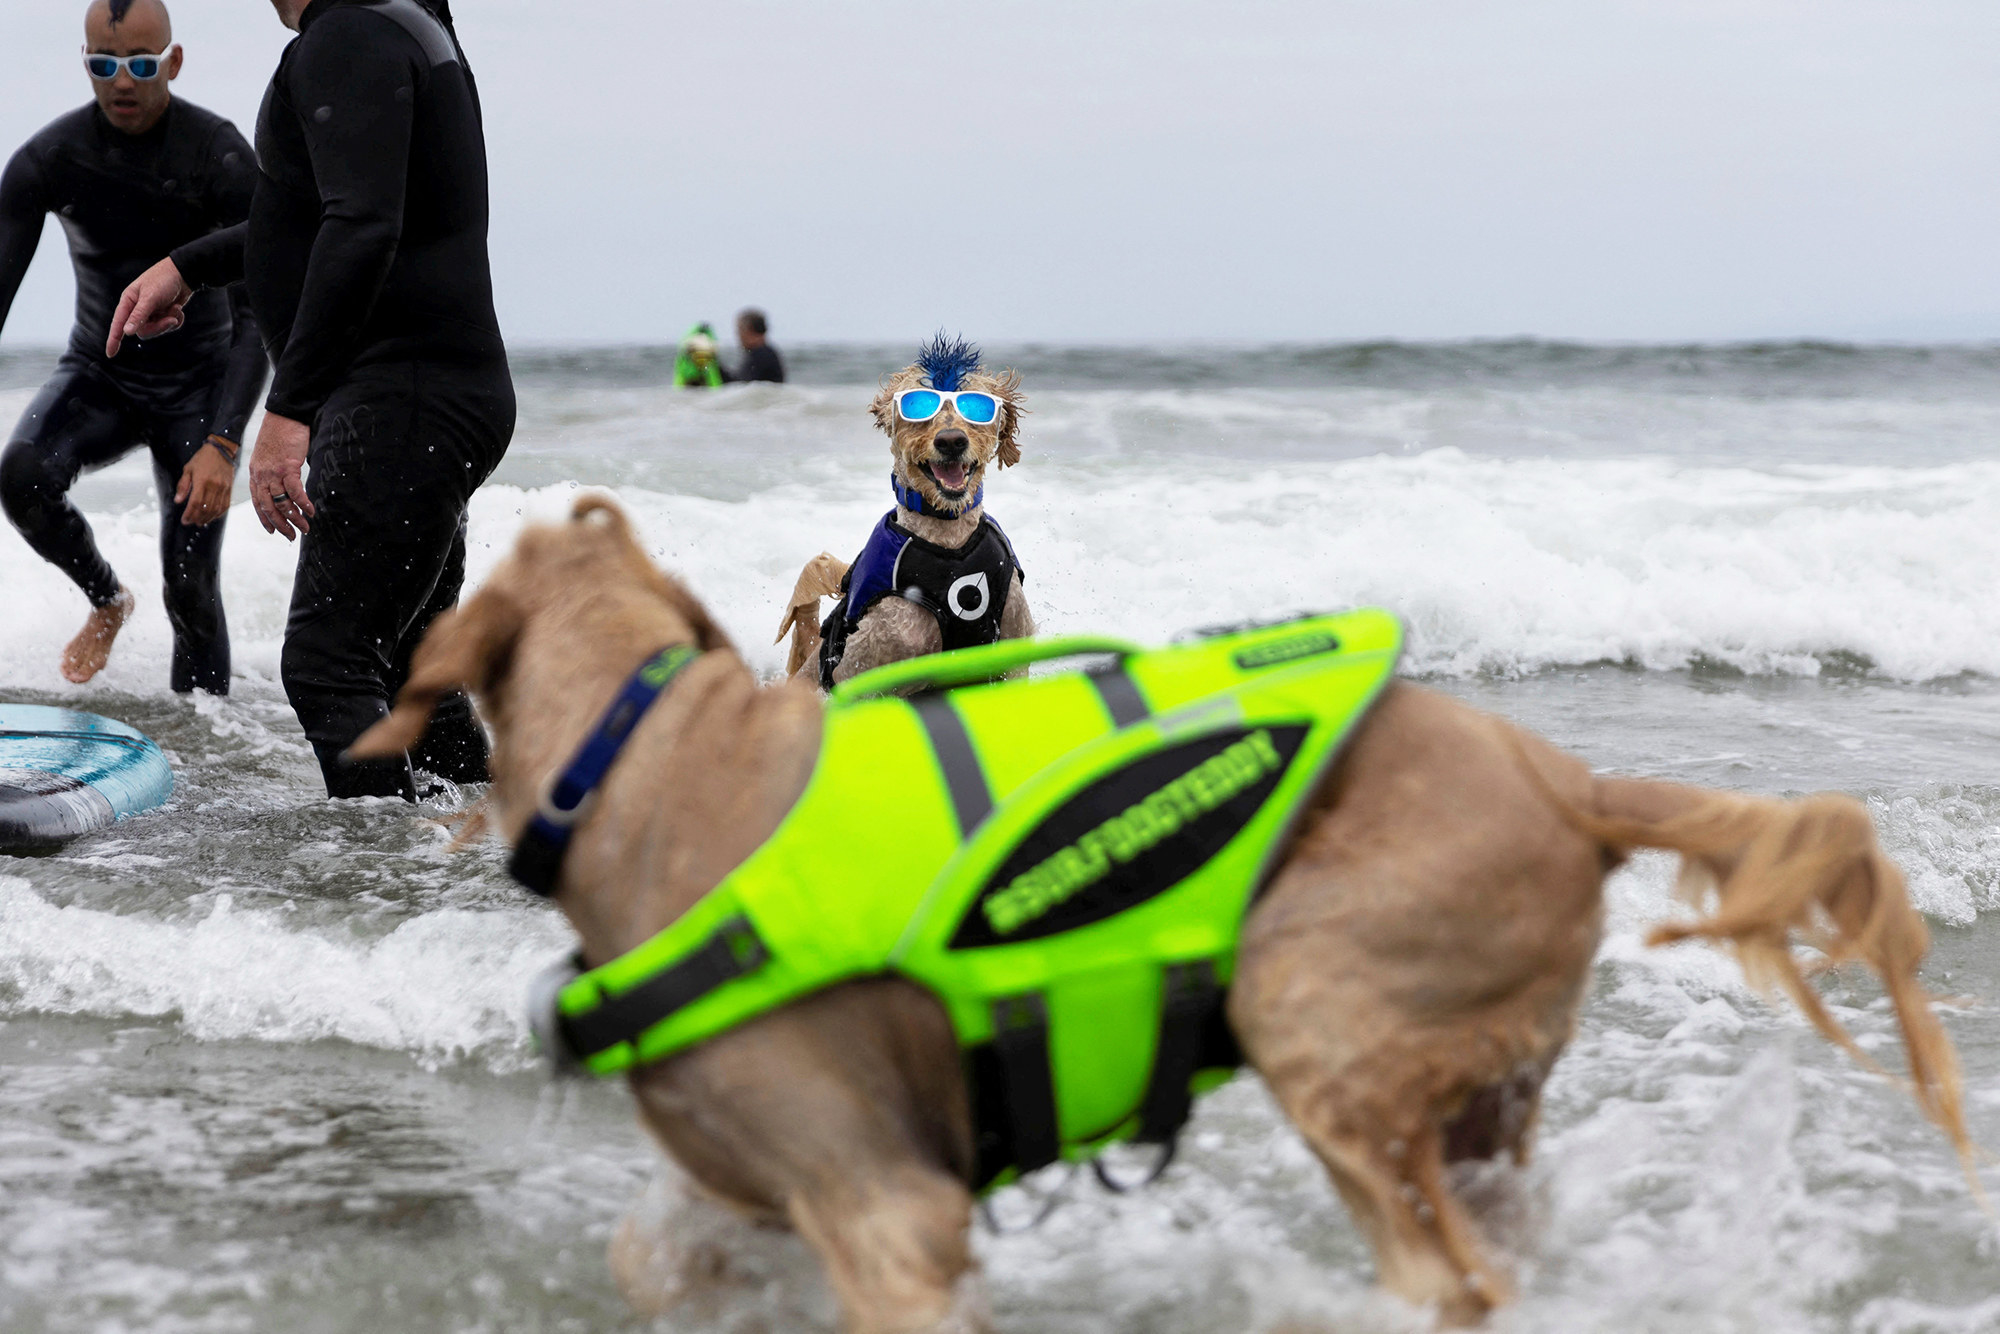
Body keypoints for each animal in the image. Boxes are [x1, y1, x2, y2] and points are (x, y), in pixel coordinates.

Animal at [352, 498, 1976, 1334]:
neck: (643, 750)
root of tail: (1567, 778)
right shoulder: (742, 1188)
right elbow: (663, 1254)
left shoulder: (890, 1208)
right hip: (1481, 1095)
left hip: (1314, 1005)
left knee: (1442, 1276)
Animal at [776, 334, 1040, 696]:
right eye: (917, 408)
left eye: (976, 407)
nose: (951, 441)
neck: (948, 536)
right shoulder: (872, 667)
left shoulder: (1012, 650)